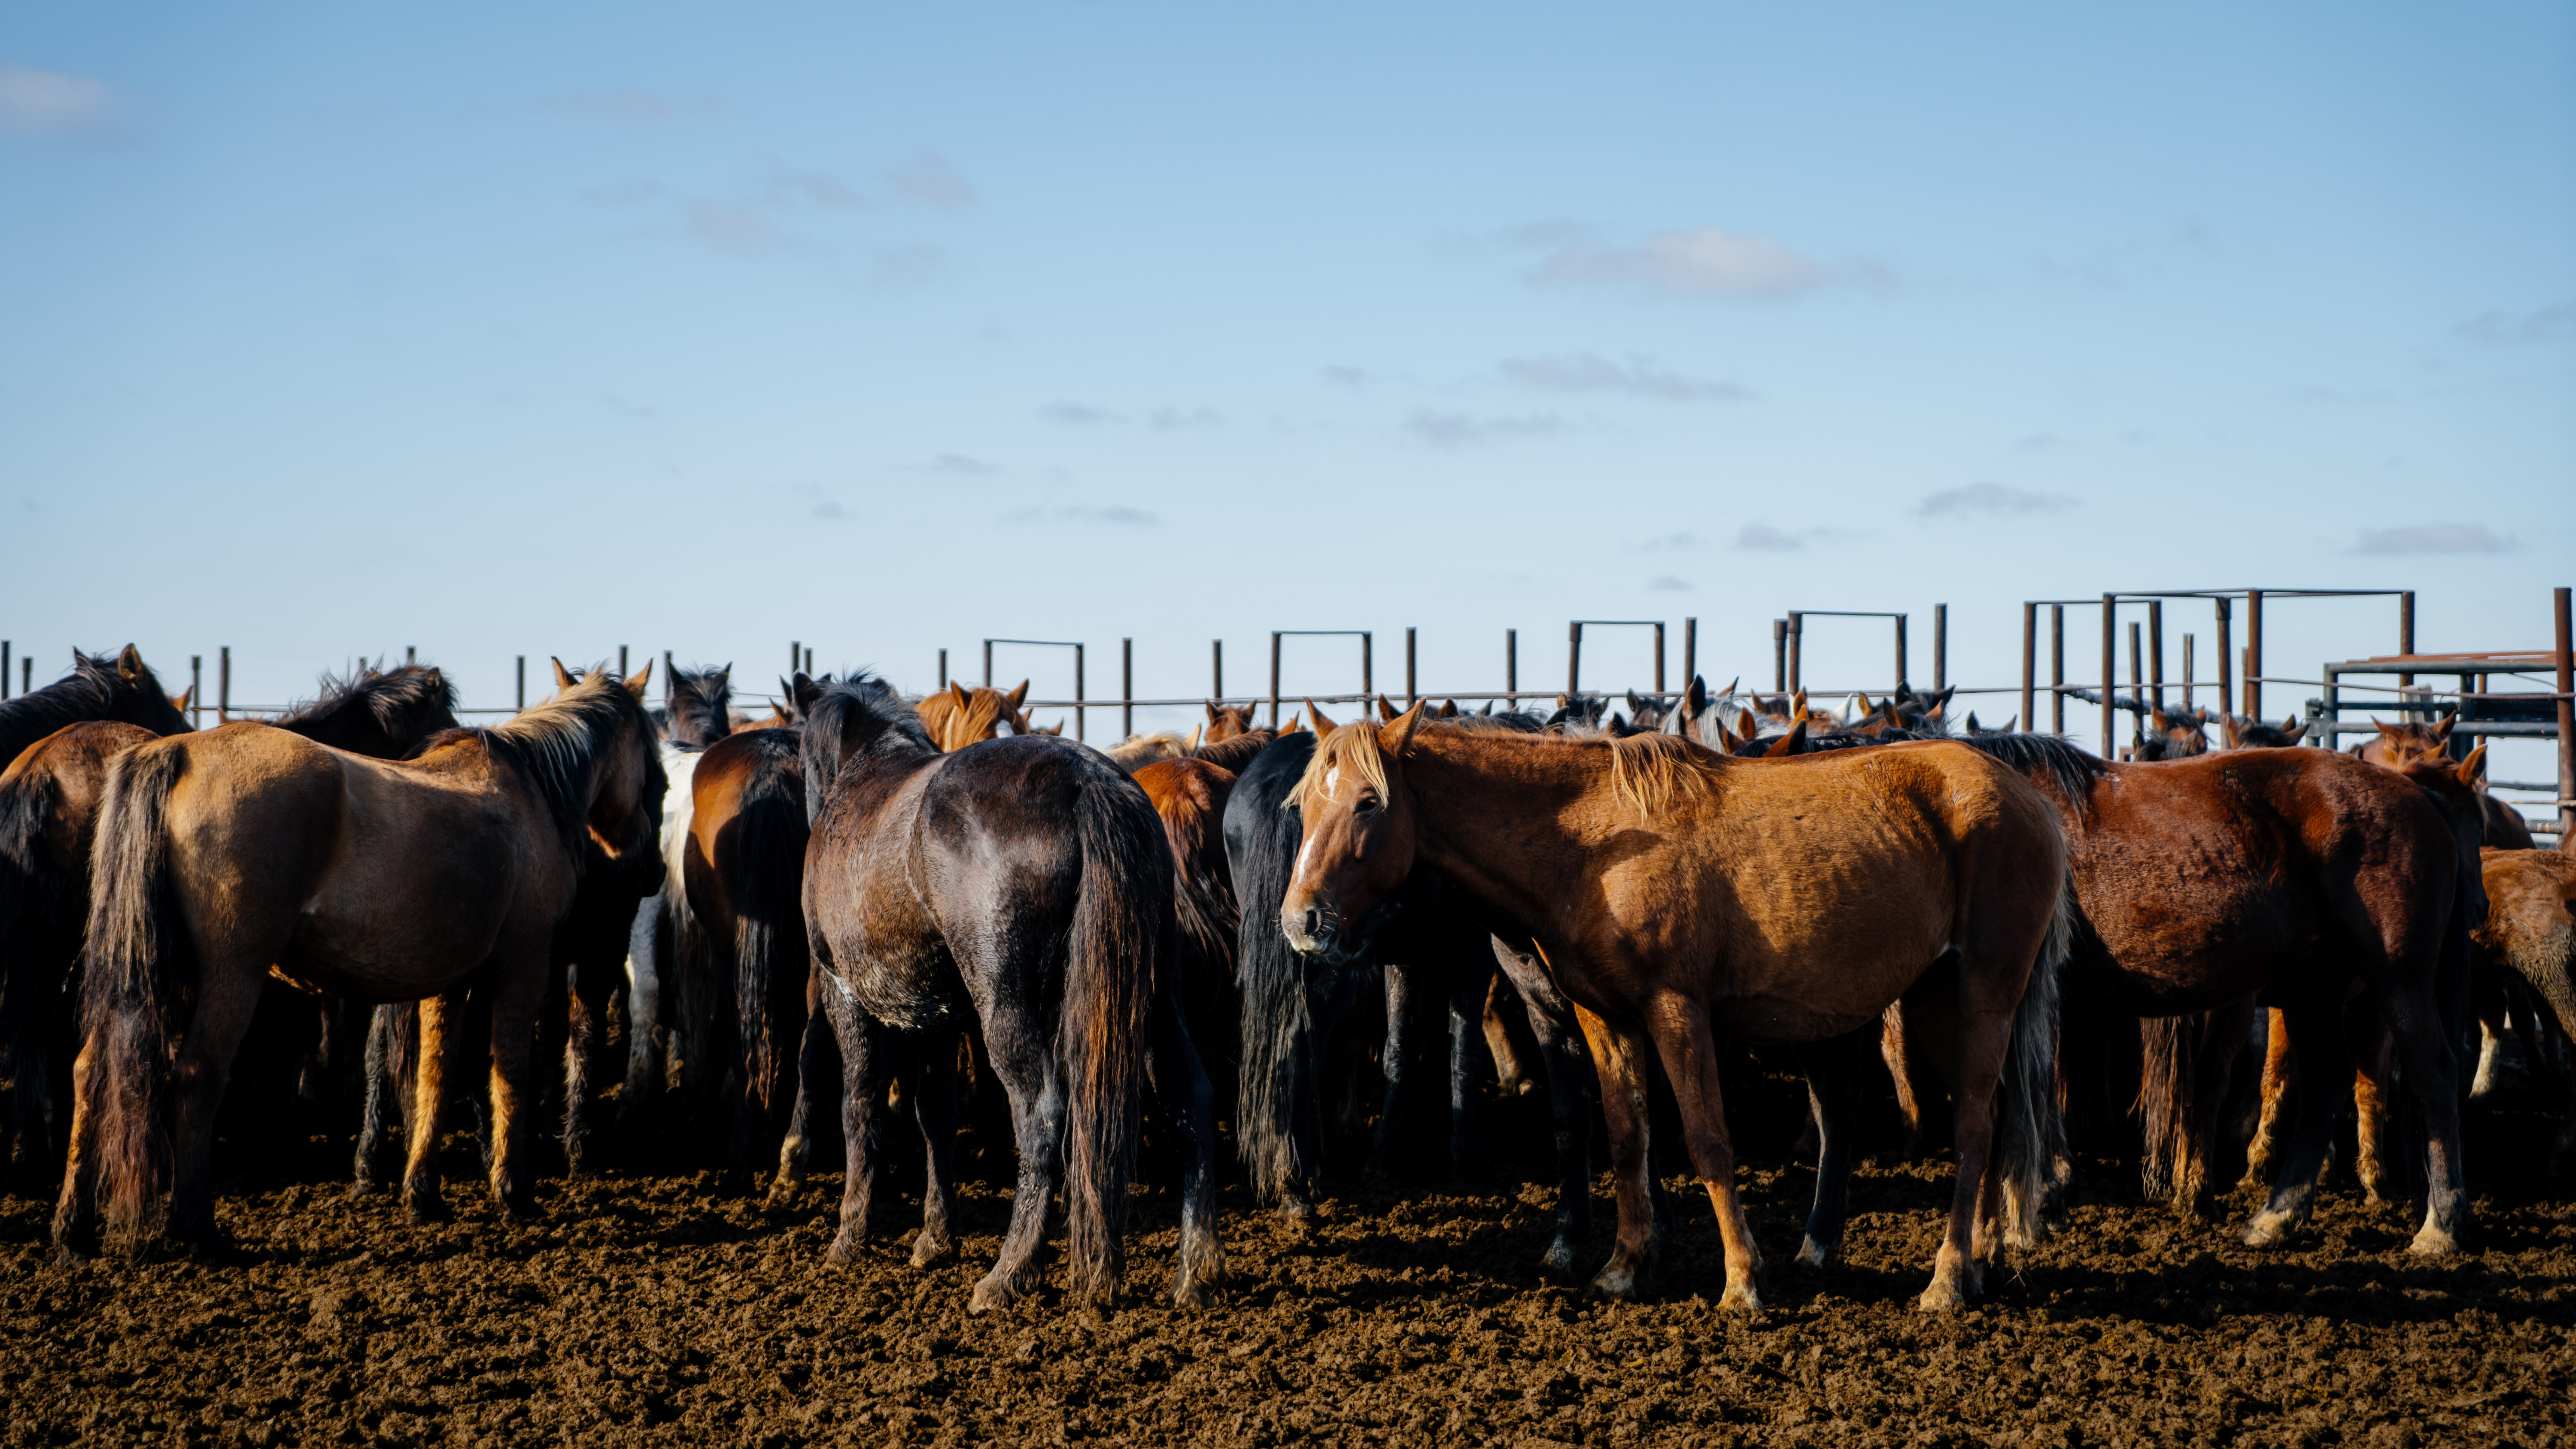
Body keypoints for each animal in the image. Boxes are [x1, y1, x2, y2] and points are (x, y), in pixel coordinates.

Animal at [54, 659, 659, 1261]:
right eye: (651, 752)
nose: (649, 865)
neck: (528, 792)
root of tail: (179, 751)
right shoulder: (523, 969)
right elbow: (509, 1071)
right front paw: (515, 1194)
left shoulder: (451, 983)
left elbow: (435, 1074)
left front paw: (424, 1195)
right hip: (232, 975)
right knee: (198, 1074)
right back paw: (197, 1227)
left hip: (161, 973)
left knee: (90, 1070)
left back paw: (73, 1230)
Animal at [793, 679, 1216, 1318]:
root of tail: (1090, 779)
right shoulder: (936, 1017)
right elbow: (935, 1113)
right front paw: (936, 1236)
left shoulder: (846, 995)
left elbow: (860, 1105)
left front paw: (849, 1236)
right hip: (1155, 993)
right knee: (1189, 1099)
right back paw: (1195, 1274)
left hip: (1007, 1005)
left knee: (1041, 1113)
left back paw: (1011, 1272)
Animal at [1288, 705, 2071, 1318]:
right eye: (1303, 806)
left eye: (1368, 802)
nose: (1301, 922)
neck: (1595, 842)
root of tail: (2028, 800)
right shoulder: (1606, 1019)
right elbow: (1628, 1135)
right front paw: (1625, 1268)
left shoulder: (1677, 1010)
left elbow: (1707, 1141)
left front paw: (1743, 1281)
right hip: (1938, 1000)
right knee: (1993, 1117)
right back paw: (1983, 1255)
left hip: (1984, 992)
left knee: (1973, 1128)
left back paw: (1948, 1278)